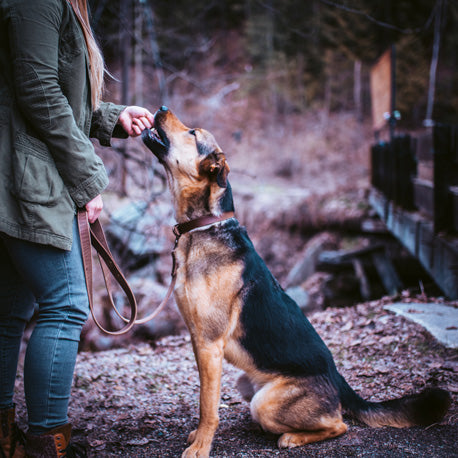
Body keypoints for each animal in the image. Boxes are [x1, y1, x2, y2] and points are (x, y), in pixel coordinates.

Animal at [142, 105, 450, 456]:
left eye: (193, 133)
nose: (161, 108)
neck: (204, 226)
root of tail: (339, 381)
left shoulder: (209, 343)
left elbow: (208, 406)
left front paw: (201, 447)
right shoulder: (200, 343)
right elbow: (203, 399)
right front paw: (197, 436)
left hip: (264, 402)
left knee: (339, 424)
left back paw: (291, 437)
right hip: (246, 382)